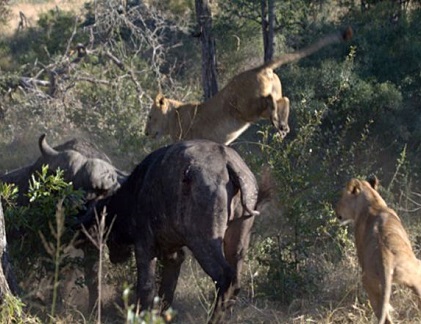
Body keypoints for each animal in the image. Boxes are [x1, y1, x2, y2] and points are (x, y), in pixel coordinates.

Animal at [83, 140, 270, 324]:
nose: (115, 257)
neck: (136, 190)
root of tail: (227, 161)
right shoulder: (173, 255)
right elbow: (167, 290)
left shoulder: (144, 245)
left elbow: (146, 287)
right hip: (238, 239)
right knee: (236, 283)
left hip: (203, 241)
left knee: (225, 277)